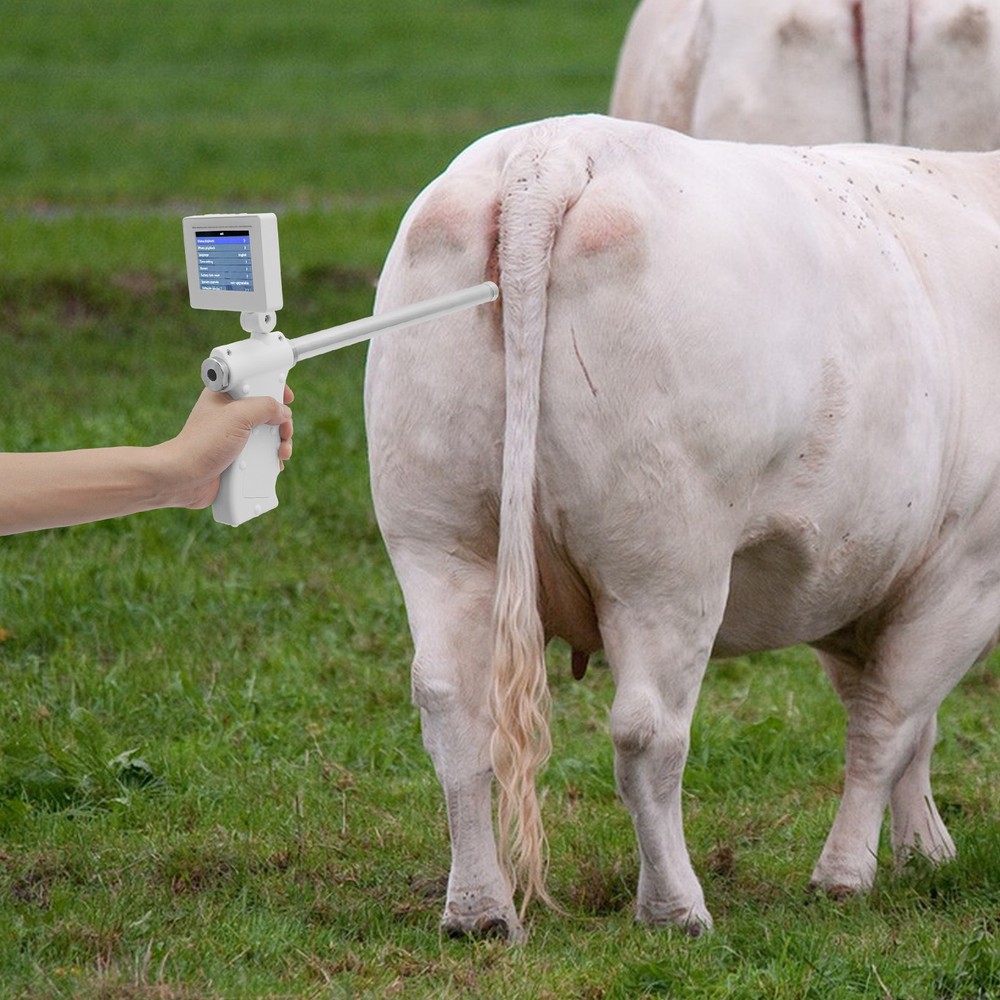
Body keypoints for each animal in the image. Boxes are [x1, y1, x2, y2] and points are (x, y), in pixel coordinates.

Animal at [364, 113, 1000, 941]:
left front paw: (923, 852)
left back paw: (478, 911)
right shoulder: (966, 572)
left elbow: (903, 725)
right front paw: (846, 874)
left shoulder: (863, 580)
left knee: (453, 709)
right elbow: (889, 726)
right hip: (668, 562)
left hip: (436, 537)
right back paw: (675, 908)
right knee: (647, 733)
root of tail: (553, 148)